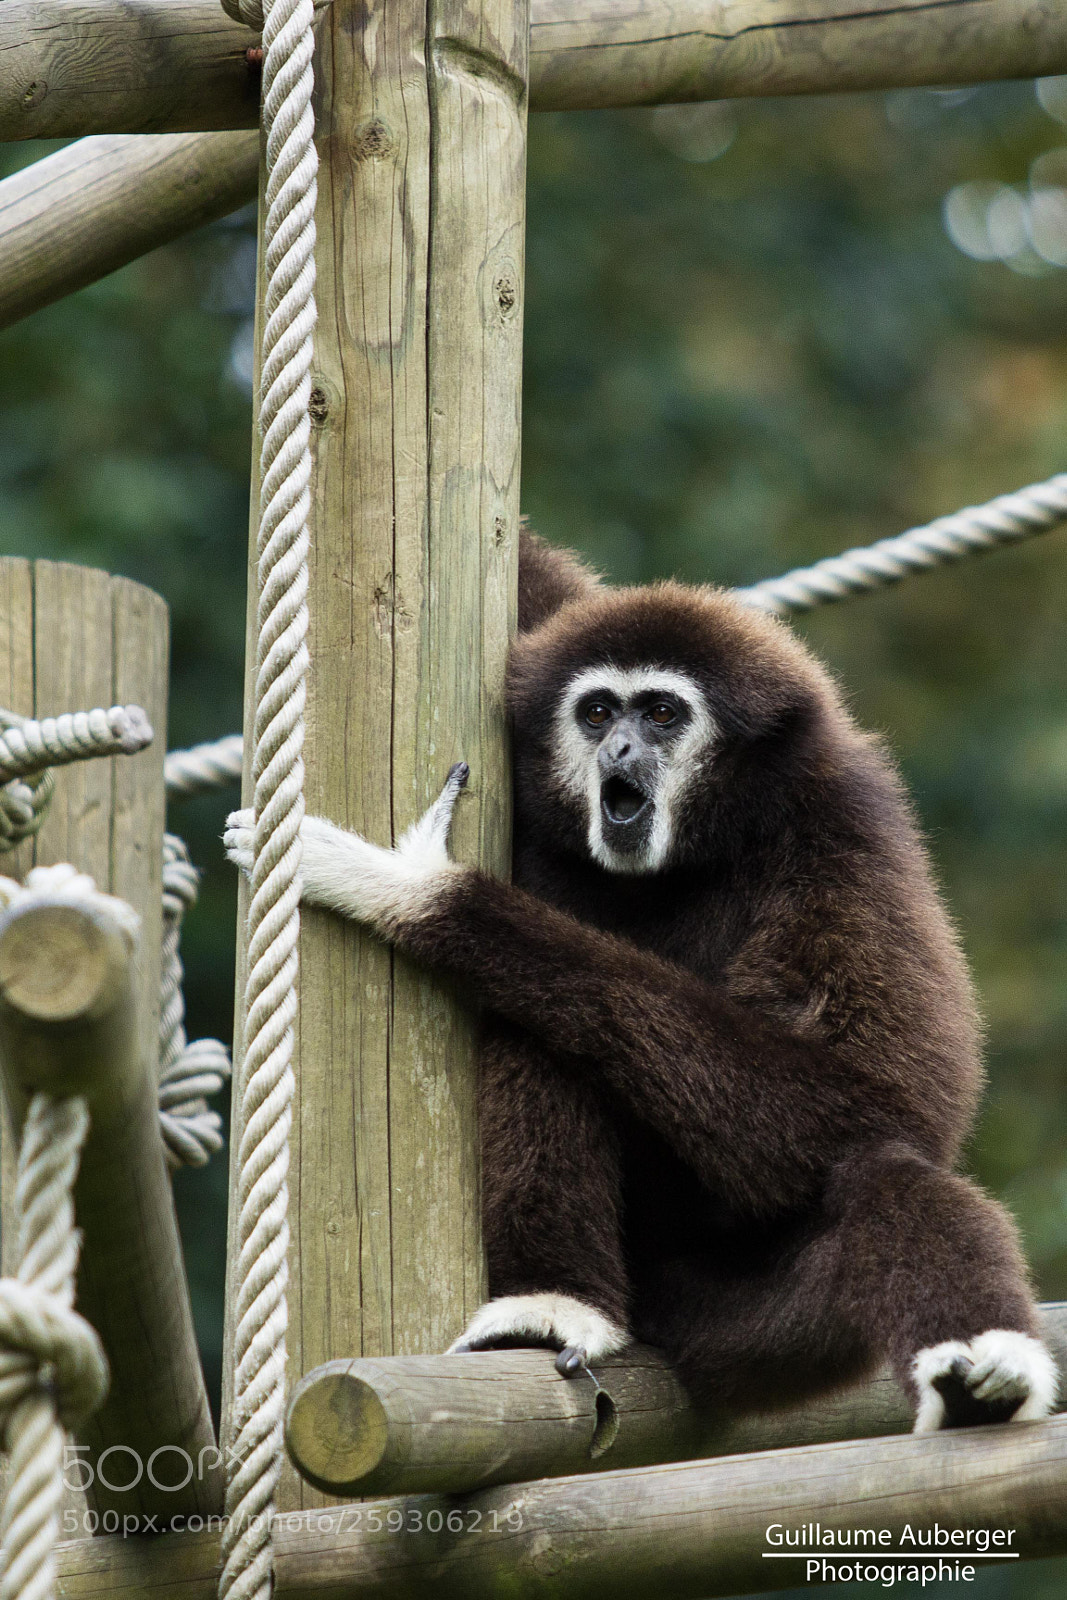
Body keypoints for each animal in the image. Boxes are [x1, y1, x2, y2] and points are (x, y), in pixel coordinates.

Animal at [226, 527, 1057, 1432]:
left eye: (661, 713)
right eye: (595, 712)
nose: (618, 752)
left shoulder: (842, 832)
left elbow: (880, 1096)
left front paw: (414, 887)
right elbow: (537, 578)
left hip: (767, 1338)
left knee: (884, 1168)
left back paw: (978, 1368)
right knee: (541, 1033)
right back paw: (552, 1306)